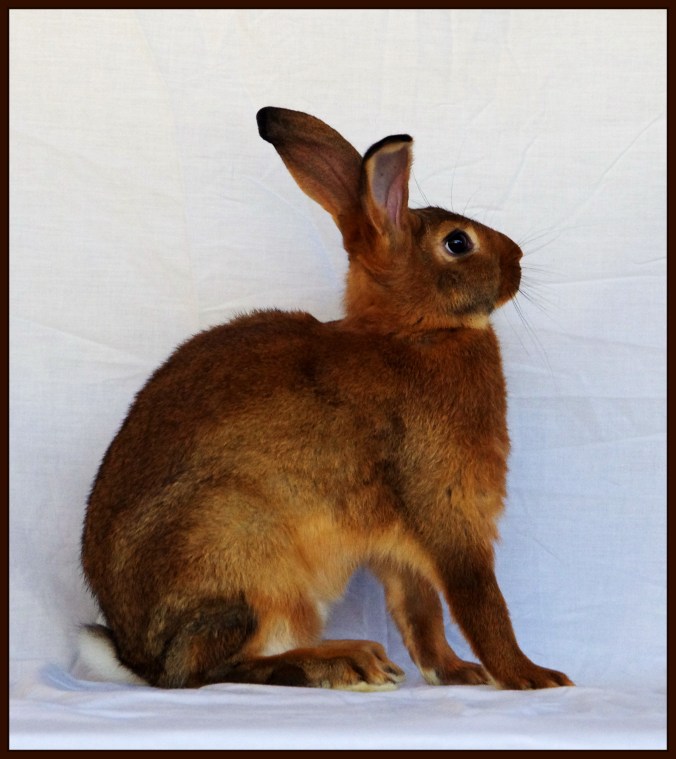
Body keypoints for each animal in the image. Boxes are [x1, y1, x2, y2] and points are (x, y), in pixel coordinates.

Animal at [80, 106, 573, 691]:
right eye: (458, 243)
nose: (518, 259)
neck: (412, 333)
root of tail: (138, 659)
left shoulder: (400, 545)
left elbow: (421, 612)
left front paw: (457, 674)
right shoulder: (444, 504)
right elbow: (478, 601)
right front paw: (532, 678)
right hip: (244, 552)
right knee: (212, 667)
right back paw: (347, 660)